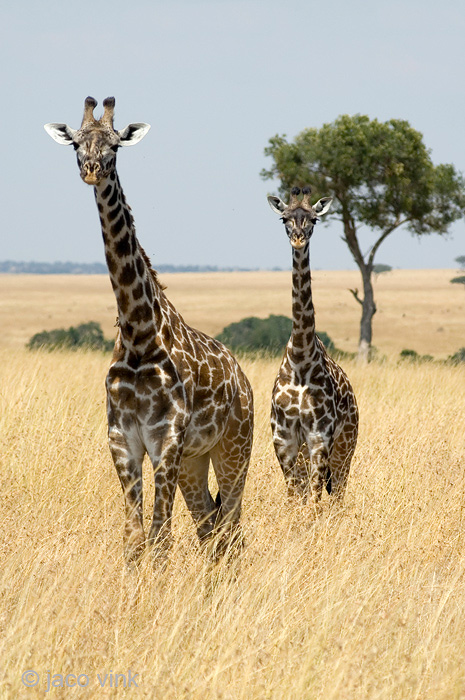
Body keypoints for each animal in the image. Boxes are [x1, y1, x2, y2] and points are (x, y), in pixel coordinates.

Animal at [44, 97, 252, 564]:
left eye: (115, 145)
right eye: (77, 144)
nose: (92, 170)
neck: (140, 334)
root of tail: (243, 378)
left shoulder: (167, 442)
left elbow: (160, 539)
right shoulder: (123, 440)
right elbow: (135, 538)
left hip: (234, 449)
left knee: (230, 527)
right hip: (196, 461)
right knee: (210, 528)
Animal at [266, 186, 358, 504]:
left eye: (314, 220)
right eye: (284, 218)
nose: (298, 238)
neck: (300, 357)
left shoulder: (320, 437)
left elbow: (315, 502)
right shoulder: (284, 439)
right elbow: (296, 499)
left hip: (345, 445)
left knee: (339, 494)